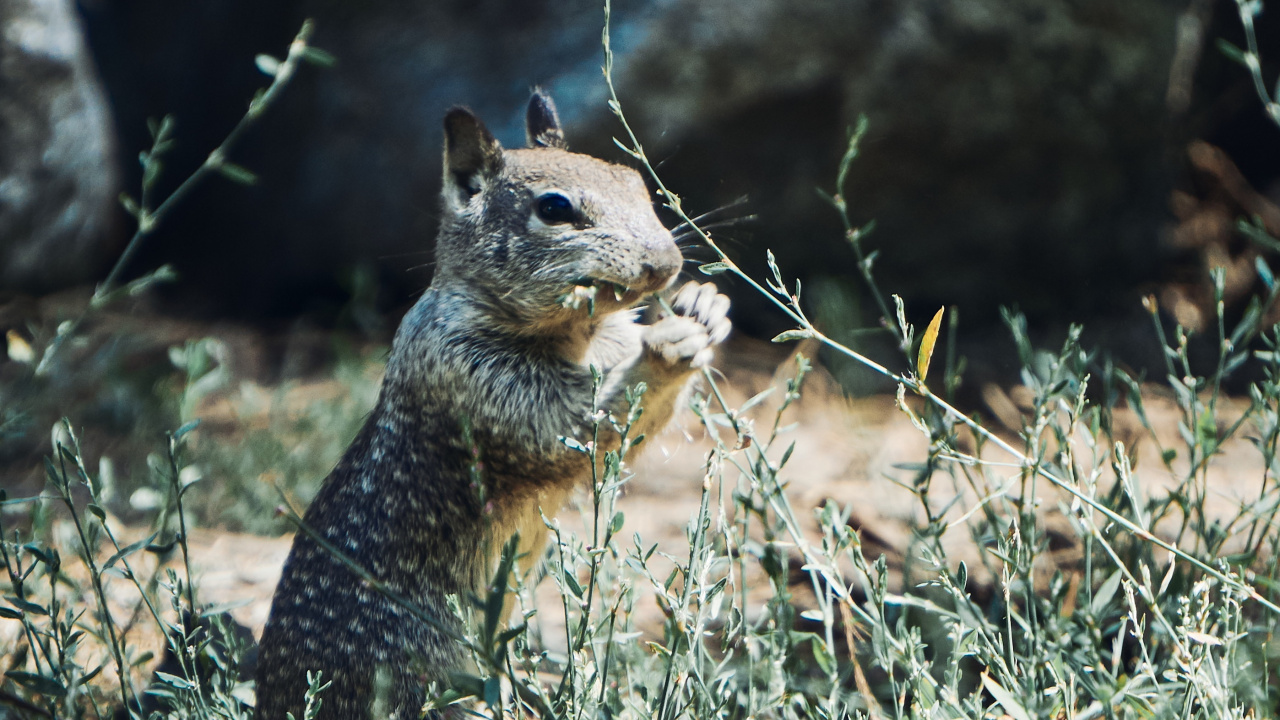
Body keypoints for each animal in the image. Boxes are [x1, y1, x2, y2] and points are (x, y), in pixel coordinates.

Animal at [254, 90, 731, 720]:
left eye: (634, 182)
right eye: (553, 209)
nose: (665, 265)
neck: (576, 337)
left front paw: (705, 306)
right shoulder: (472, 377)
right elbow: (571, 429)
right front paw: (668, 346)